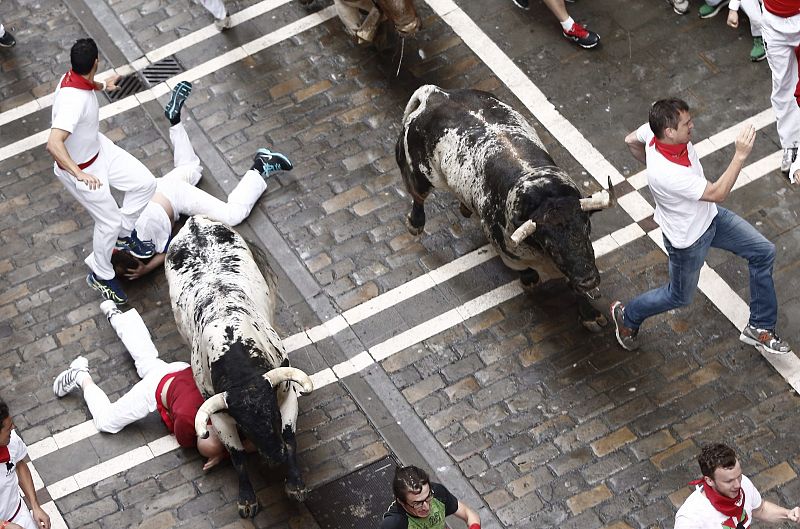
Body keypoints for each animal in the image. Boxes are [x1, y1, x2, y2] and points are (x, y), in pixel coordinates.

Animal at [164, 214, 314, 516]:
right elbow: (237, 456)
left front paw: (295, 486)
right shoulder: (221, 417)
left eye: (272, 413)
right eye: (243, 424)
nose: (274, 457)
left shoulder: (286, 394)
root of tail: (194, 221)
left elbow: (289, 437)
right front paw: (247, 499)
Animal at [396, 85, 616, 332]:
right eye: (548, 241)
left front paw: (590, 314)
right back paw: (416, 223)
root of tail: (436, 94)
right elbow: (527, 271)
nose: (589, 280)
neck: (543, 194)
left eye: (586, 228)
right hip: (421, 174)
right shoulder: (510, 254)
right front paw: (531, 281)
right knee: (418, 196)